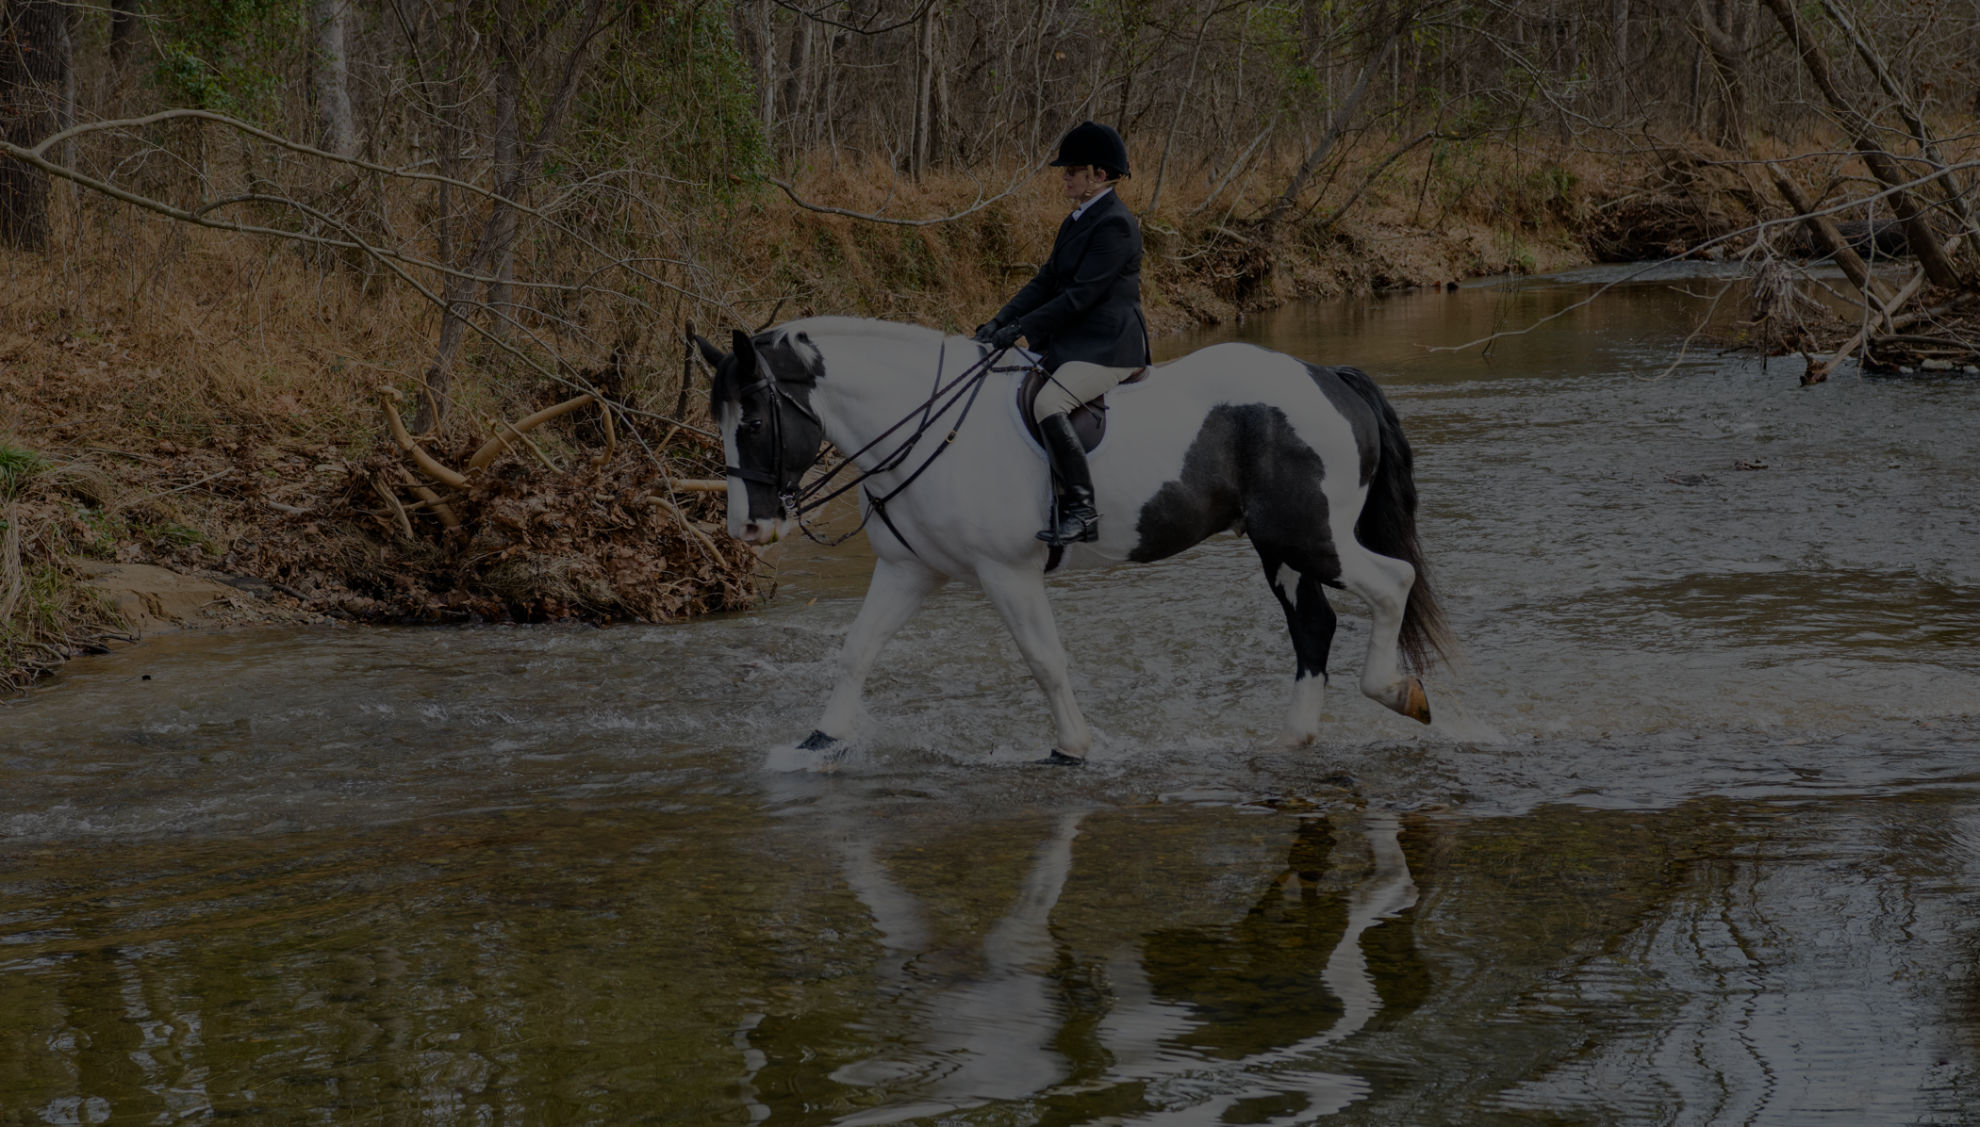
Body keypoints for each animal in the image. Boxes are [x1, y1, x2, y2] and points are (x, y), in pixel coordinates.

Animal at [696, 314, 1457, 764]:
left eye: (753, 421)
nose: (747, 528)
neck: (928, 426)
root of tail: (1329, 378)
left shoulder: (1007, 571)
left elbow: (1044, 659)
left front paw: (1071, 746)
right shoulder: (910, 569)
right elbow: (858, 649)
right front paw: (820, 740)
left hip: (1309, 534)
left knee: (1391, 583)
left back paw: (1397, 693)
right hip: (1281, 546)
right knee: (1313, 626)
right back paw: (1292, 737)